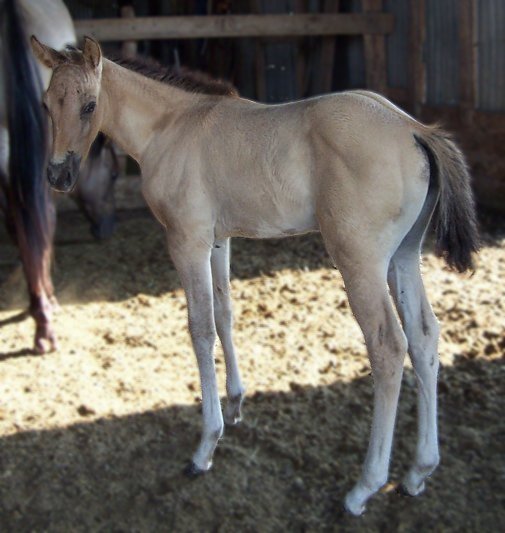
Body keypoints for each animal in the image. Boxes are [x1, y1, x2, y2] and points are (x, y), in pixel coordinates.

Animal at [31, 35, 476, 512]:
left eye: (89, 105)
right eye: (46, 104)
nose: (57, 176)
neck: (171, 127)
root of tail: (413, 129)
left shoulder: (186, 241)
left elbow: (201, 329)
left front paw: (206, 445)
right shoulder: (217, 240)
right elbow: (225, 314)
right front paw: (236, 403)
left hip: (360, 261)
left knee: (389, 347)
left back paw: (364, 487)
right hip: (404, 257)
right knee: (424, 335)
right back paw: (419, 471)